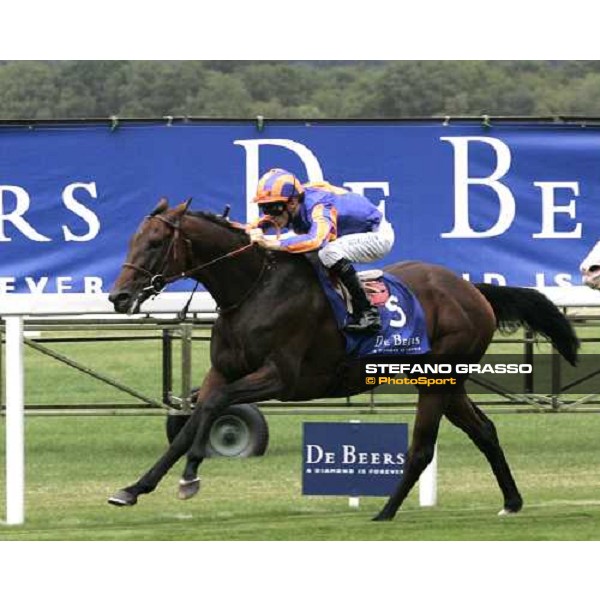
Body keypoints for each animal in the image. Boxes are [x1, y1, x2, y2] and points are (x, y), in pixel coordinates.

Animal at [105, 199, 580, 516]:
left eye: (156, 241)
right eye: (132, 239)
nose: (118, 297)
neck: (254, 289)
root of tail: (472, 290)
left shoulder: (282, 377)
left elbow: (214, 408)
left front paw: (190, 478)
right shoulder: (222, 371)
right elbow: (191, 420)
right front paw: (133, 488)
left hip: (437, 378)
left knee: (422, 447)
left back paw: (384, 513)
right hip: (446, 382)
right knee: (483, 430)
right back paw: (512, 501)